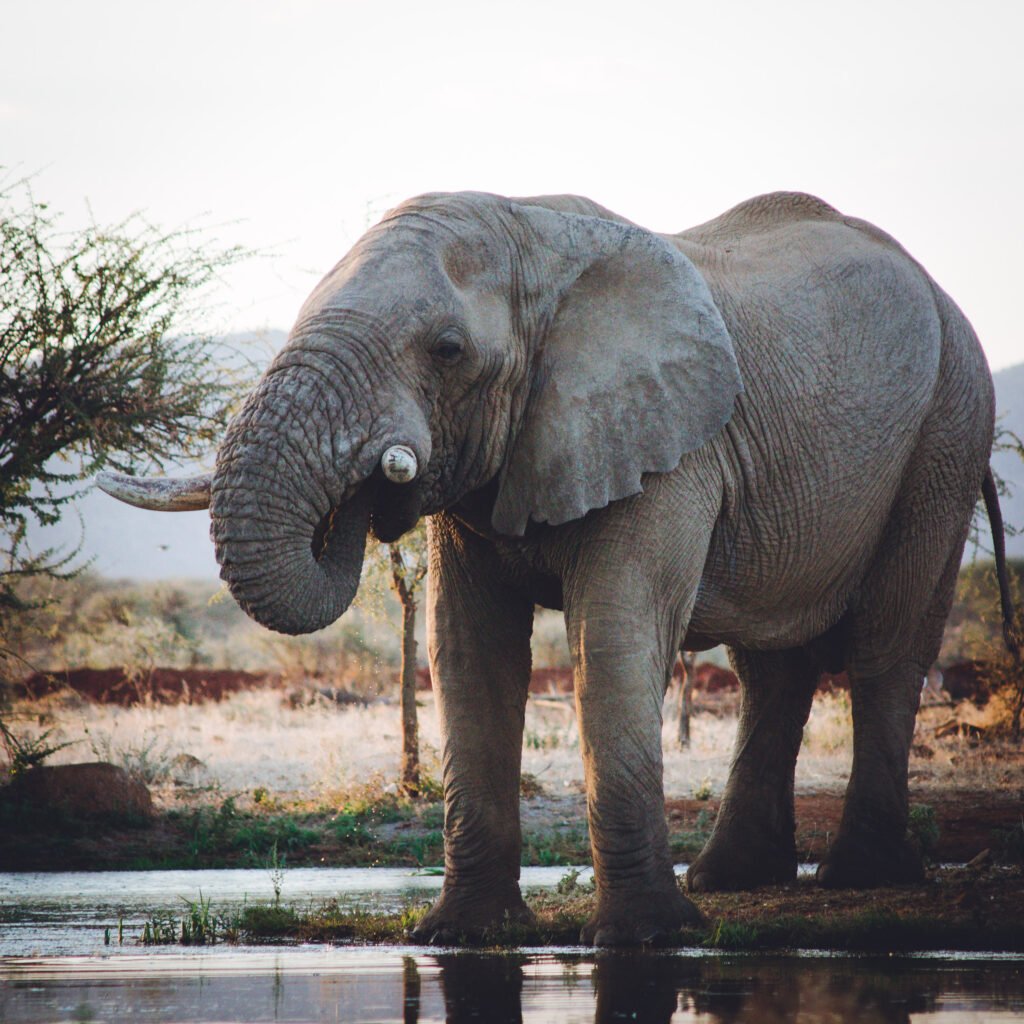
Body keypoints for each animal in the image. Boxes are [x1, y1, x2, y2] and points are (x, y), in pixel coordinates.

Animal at [99, 189, 1015, 946]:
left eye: (447, 350)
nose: (371, 483)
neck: (530, 239)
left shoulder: (669, 446)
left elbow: (611, 639)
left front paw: (644, 938)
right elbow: (466, 652)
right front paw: (461, 935)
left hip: (949, 427)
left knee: (887, 645)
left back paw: (860, 878)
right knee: (773, 667)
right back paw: (730, 881)